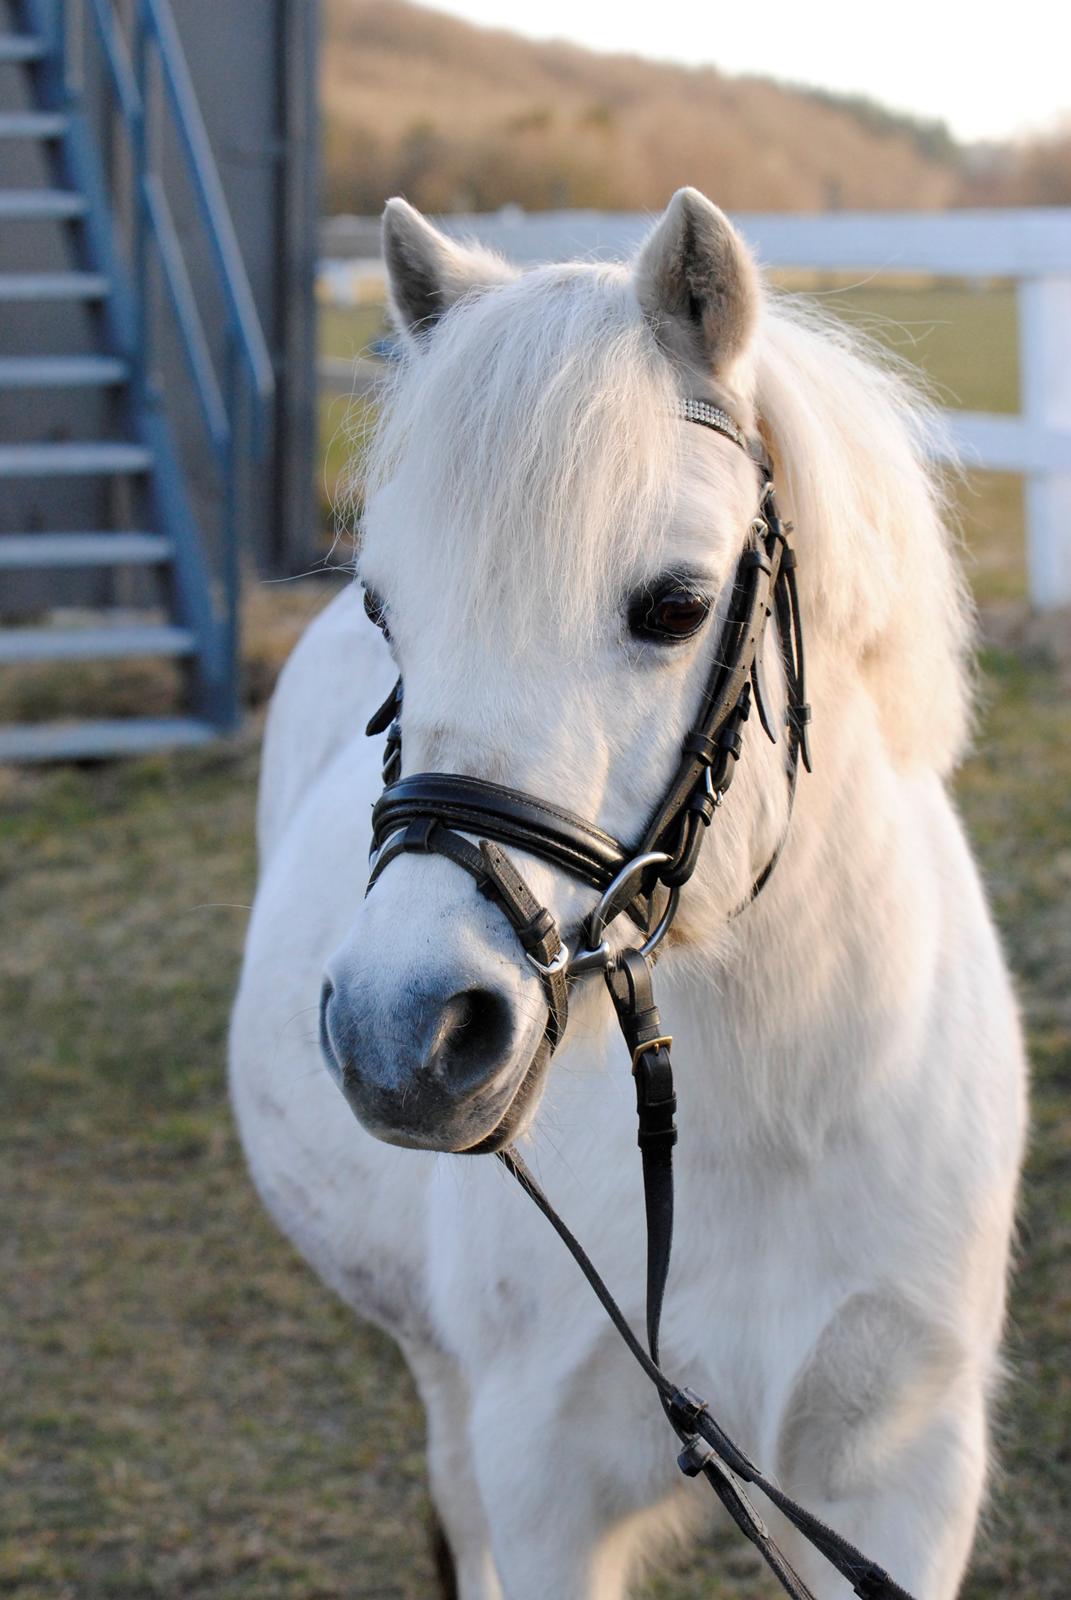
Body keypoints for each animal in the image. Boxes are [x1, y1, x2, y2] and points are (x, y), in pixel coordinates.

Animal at [230, 190, 1024, 1600]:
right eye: (385, 610)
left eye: (674, 605)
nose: (402, 1034)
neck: (779, 1116)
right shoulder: (546, 1484)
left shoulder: (900, 1483)